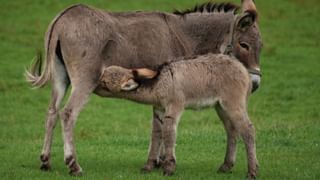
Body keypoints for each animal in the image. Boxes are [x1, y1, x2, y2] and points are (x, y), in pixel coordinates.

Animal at [99, 53, 258, 179]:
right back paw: (226, 166)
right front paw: (148, 166)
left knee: (248, 130)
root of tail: (243, 69)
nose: (94, 84)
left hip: (233, 103)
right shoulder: (159, 109)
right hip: (221, 107)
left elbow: (169, 133)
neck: (159, 83)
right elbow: (156, 134)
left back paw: (252, 171)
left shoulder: (174, 106)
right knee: (232, 131)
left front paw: (169, 168)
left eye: (104, 82)